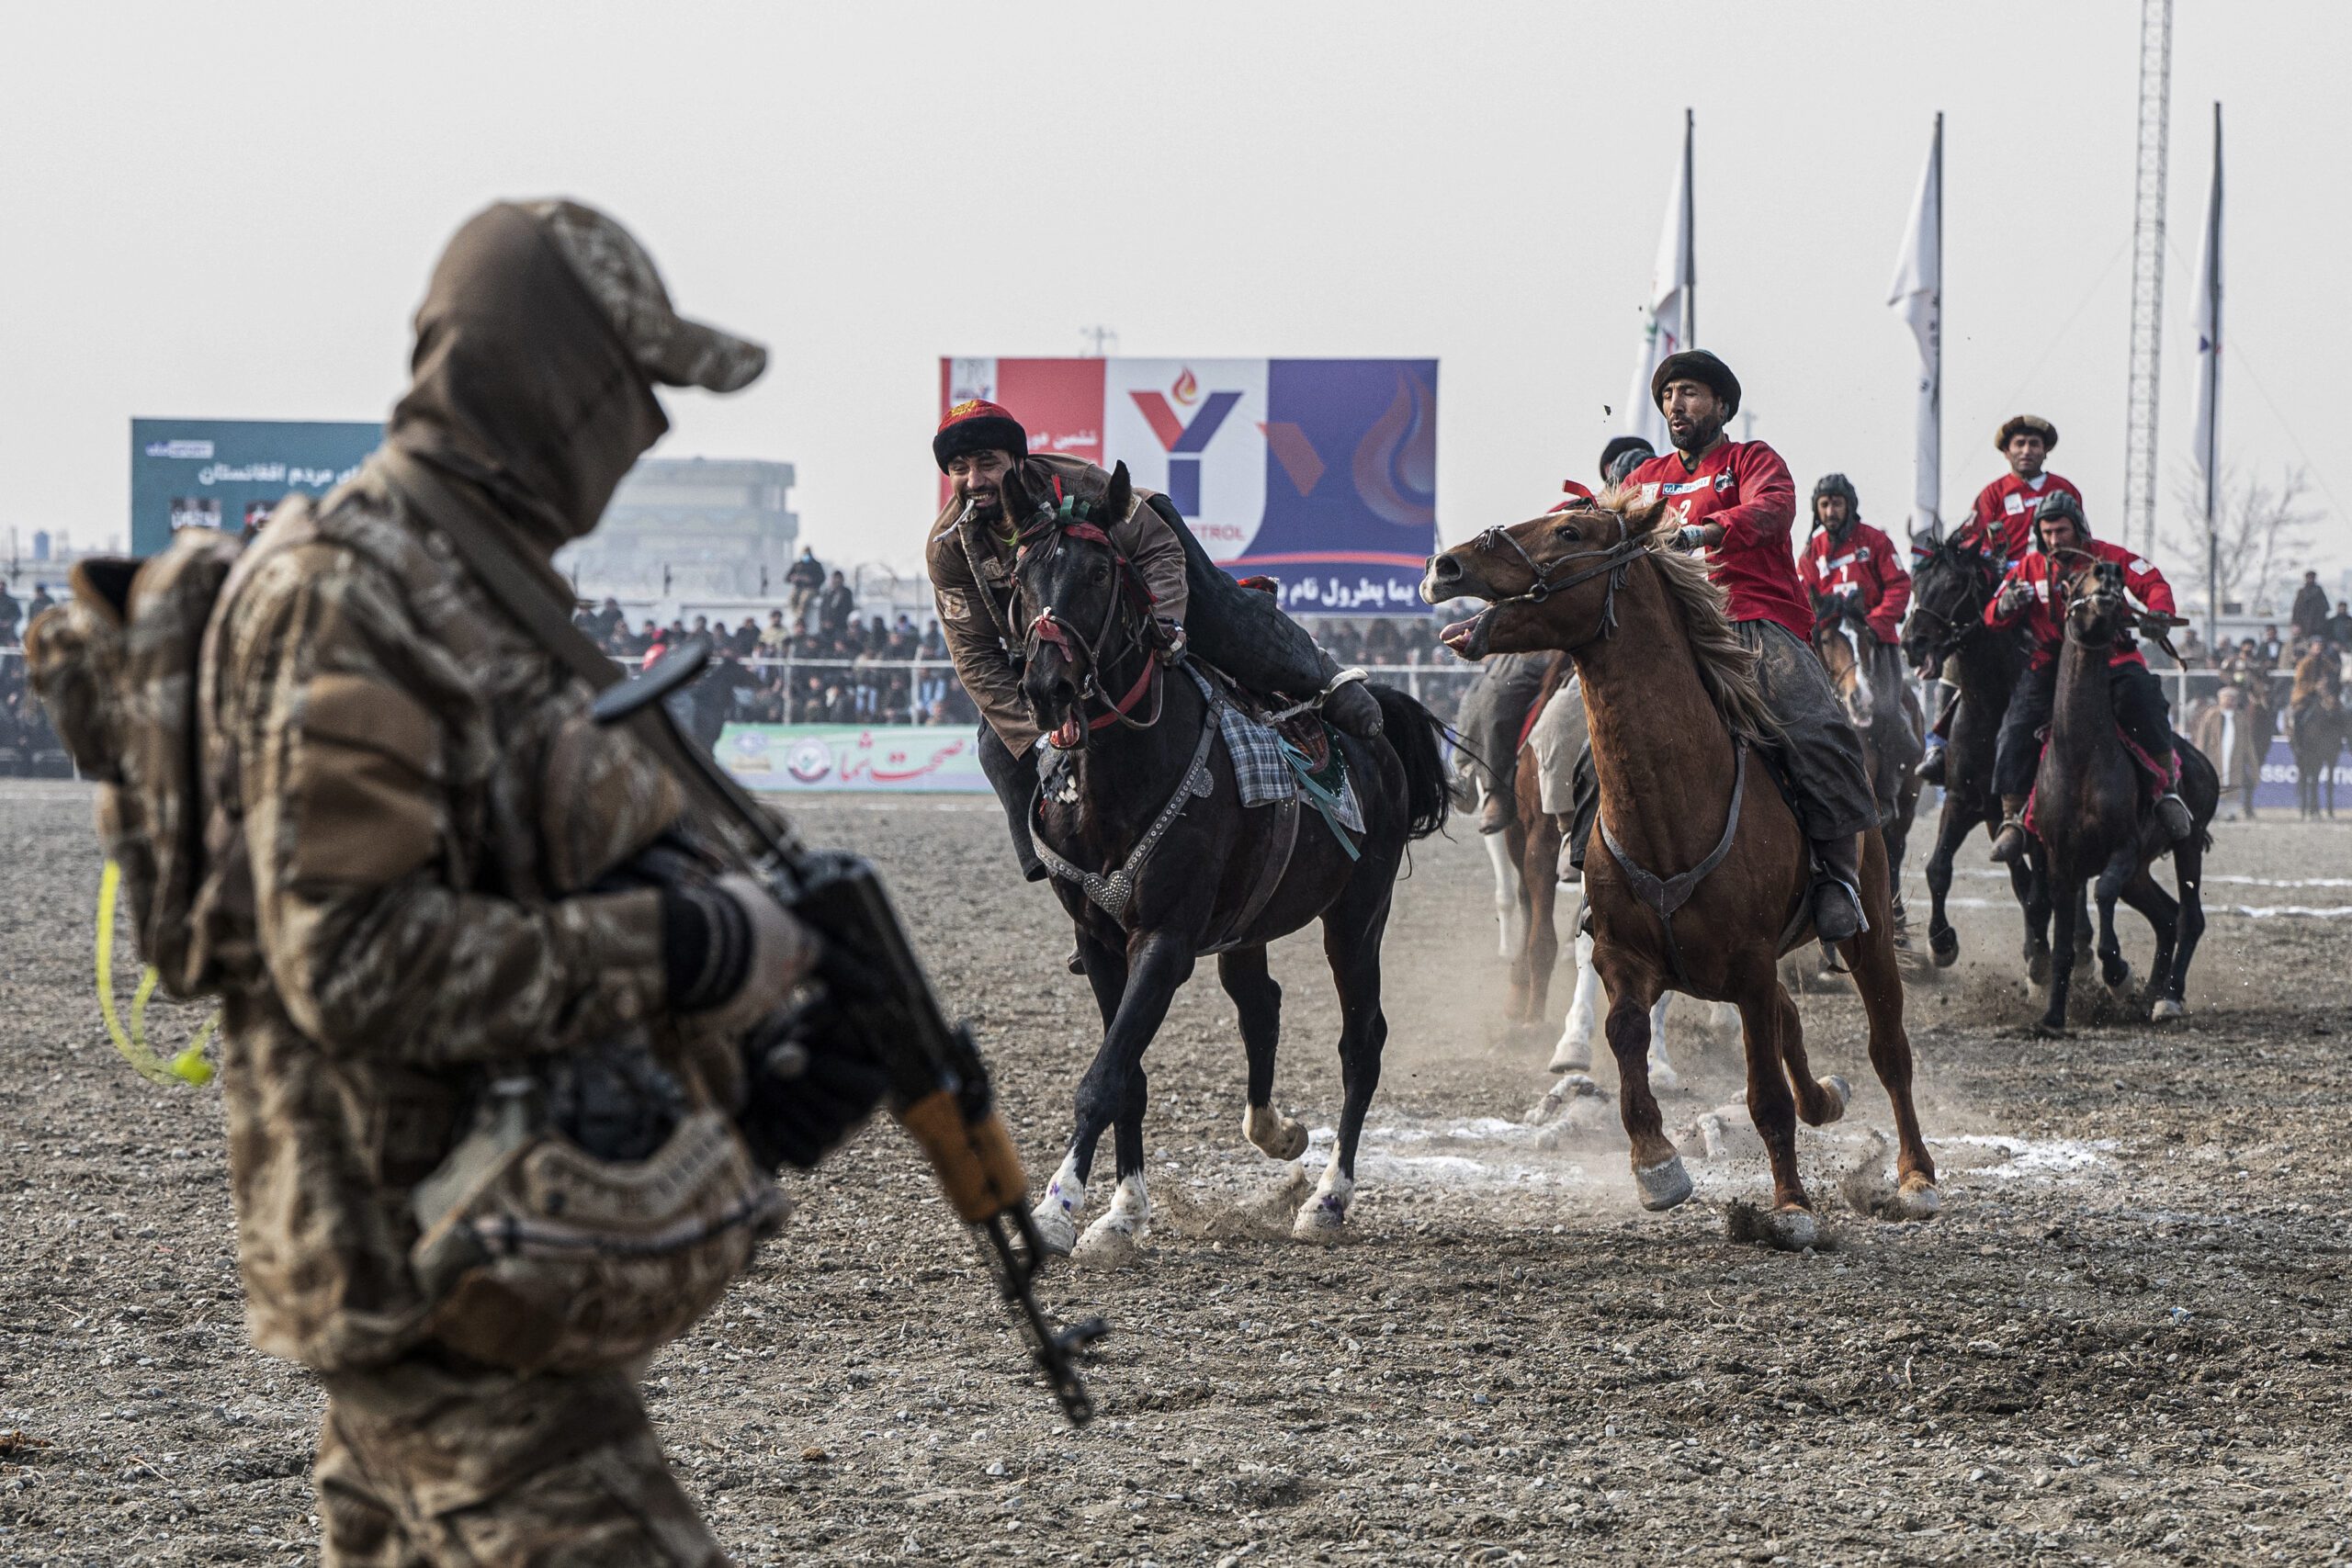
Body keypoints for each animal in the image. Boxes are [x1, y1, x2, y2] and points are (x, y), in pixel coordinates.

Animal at [1011, 460, 1448, 1259]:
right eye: (1024, 575)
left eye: (1097, 572)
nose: (1046, 684)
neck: (1121, 779)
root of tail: (1380, 724)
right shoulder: (1099, 942)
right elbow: (1128, 1076)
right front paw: (1123, 1211)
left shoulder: (1165, 940)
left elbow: (1104, 1076)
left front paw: (1059, 1206)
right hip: (1251, 923)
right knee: (1261, 1002)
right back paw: (1275, 1131)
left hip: (1358, 915)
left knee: (1361, 1043)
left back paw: (1329, 1198)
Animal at [1420, 495, 1938, 1241]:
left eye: (1570, 531)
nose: (1447, 565)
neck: (1676, 801)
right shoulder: (1624, 955)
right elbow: (1625, 1035)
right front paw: (1656, 1165)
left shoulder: (1749, 965)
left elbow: (1766, 1093)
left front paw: (1790, 1206)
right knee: (1791, 1024)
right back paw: (1828, 1098)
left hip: (1863, 931)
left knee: (1889, 1047)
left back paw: (1916, 1175)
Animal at [2031, 557, 2211, 1034]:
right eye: (2074, 581)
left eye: (2120, 581)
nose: (2108, 570)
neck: (2080, 757)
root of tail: (2201, 761)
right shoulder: (2059, 862)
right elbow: (2063, 942)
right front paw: (2052, 1016)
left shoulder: (2124, 848)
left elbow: (2102, 893)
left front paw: (2117, 974)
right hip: (2142, 873)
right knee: (2167, 917)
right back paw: (2150, 995)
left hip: (2187, 845)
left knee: (2189, 918)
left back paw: (2168, 997)